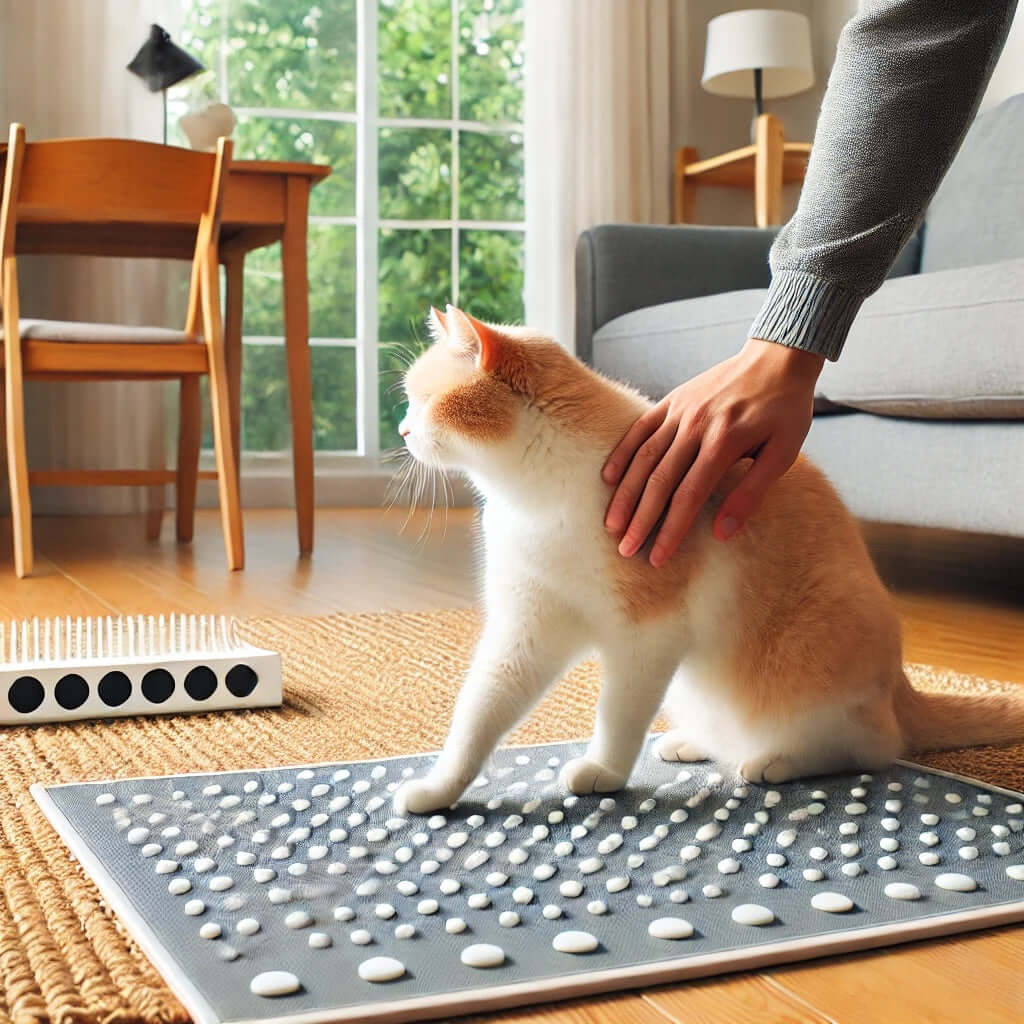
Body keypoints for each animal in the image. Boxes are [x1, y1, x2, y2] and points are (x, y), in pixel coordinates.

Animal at [387, 303, 1019, 815]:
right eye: (410, 400)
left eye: (427, 401)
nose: (402, 428)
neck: (535, 497)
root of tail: (903, 691)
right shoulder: (525, 628)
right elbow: (479, 714)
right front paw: (439, 789)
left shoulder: (648, 635)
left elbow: (618, 714)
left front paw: (604, 772)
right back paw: (691, 742)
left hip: (812, 657)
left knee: (870, 748)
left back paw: (774, 761)